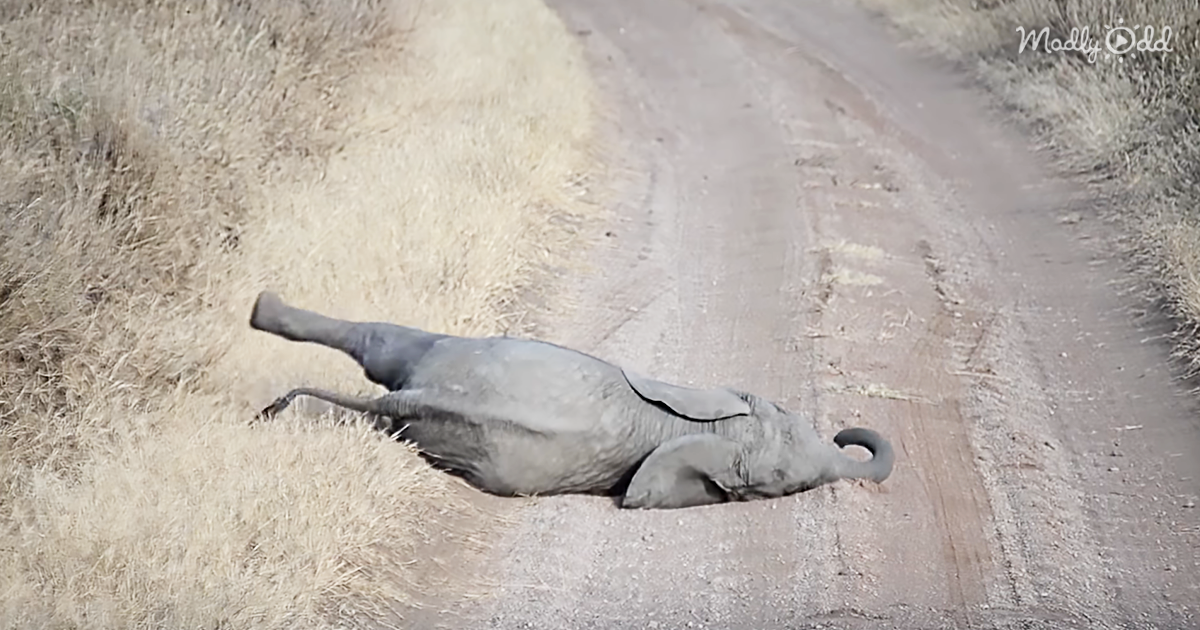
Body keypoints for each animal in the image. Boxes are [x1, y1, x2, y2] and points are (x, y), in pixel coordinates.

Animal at [250, 291, 895, 509]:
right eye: (789, 414)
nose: (844, 434)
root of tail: (420, 394)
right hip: (464, 352)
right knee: (387, 340)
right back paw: (261, 312)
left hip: (433, 410)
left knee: (380, 363)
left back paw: (272, 405)